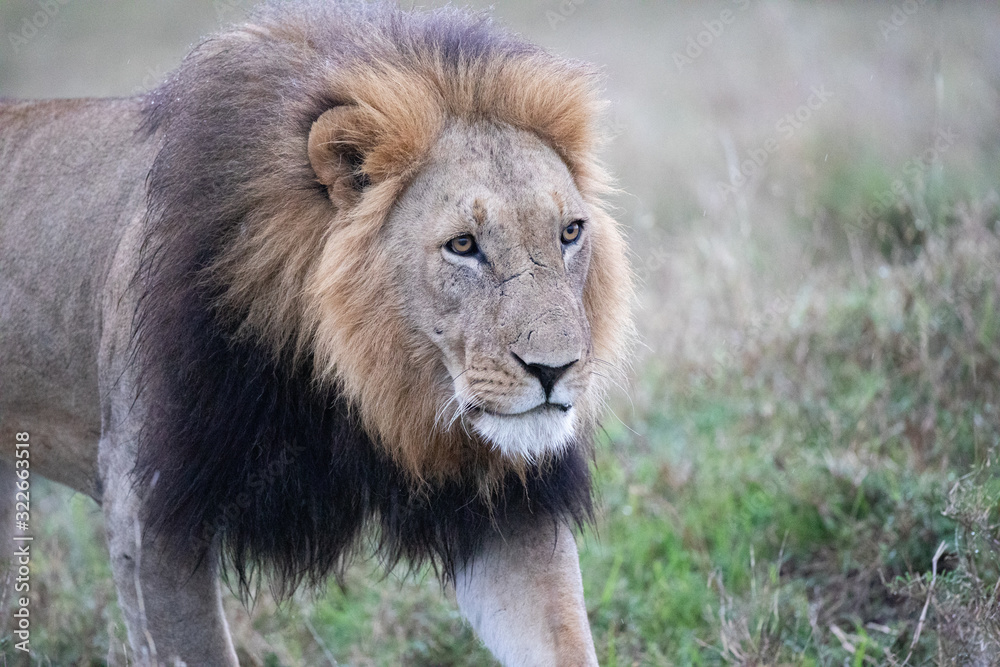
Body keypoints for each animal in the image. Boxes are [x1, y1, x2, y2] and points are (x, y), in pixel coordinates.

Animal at [0, 1, 632, 665]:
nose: (555, 370)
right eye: (463, 245)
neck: (358, 378)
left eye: (569, 232)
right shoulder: (150, 514)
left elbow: (561, 640)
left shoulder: (504, 508)